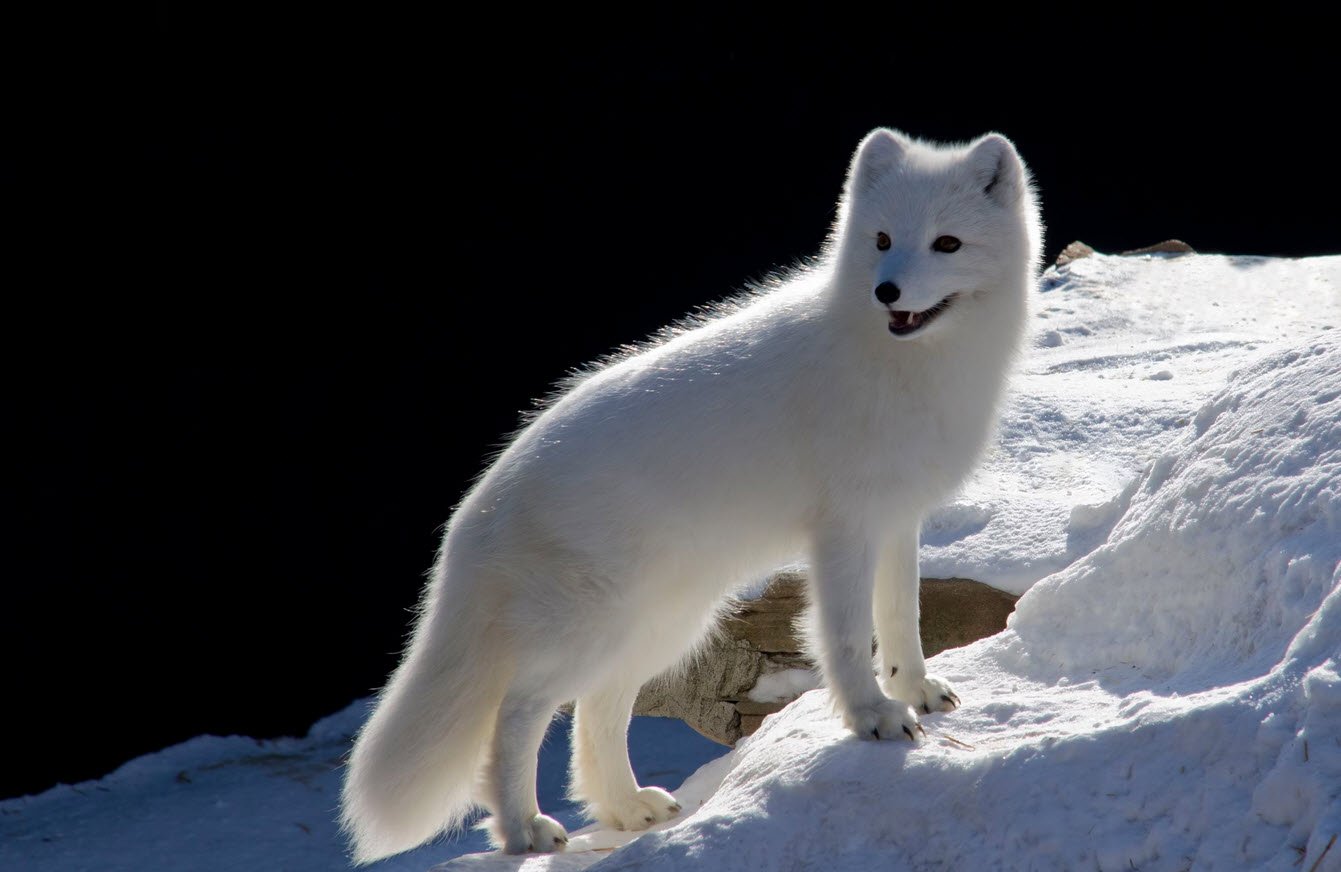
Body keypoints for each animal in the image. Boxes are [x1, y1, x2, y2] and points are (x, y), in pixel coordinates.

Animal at [340, 127, 1040, 853]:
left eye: (946, 244)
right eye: (880, 239)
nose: (887, 290)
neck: (905, 364)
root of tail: (481, 501)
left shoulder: (898, 520)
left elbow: (902, 620)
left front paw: (918, 691)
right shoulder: (844, 530)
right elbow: (847, 637)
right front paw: (872, 717)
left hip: (661, 626)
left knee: (596, 711)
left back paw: (626, 809)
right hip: (594, 628)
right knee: (519, 710)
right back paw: (525, 828)